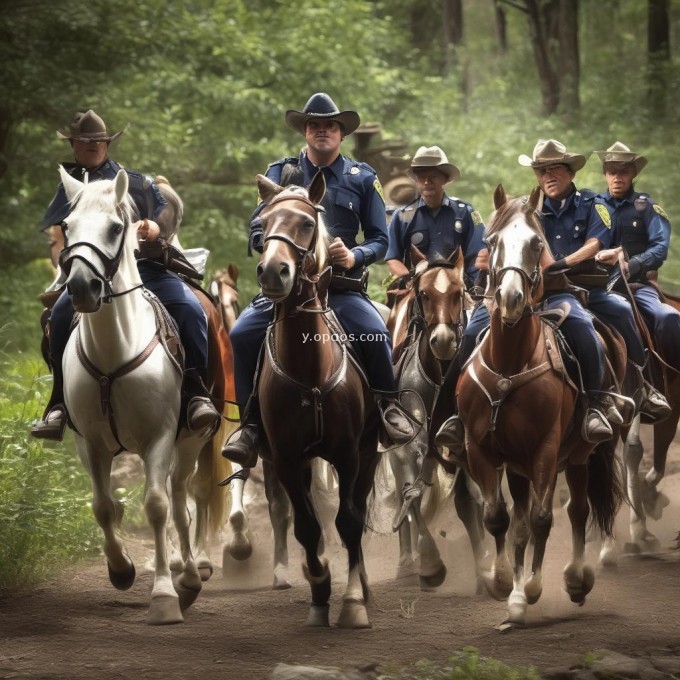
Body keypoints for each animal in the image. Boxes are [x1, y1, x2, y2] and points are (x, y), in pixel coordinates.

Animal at [58, 167, 219, 624]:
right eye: (67, 226)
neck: (114, 352)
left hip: (191, 440)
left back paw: (189, 576)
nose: (82, 287)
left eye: (117, 227)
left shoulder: (159, 438)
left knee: (181, 499)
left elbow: (157, 507)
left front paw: (164, 594)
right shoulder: (89, 443)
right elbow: (103, 506)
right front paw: (121, 569)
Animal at [255, 170, 382, 628]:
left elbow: (348, 521)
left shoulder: (348, 454)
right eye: (263, 224)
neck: (310, 370)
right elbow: (307, 527)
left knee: (356, 511)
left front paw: (353, 602)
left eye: (308, 223)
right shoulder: (287, 459)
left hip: (369, 453)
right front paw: (319, 588)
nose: (273, 272)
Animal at [456, 185, 628, 628]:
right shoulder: (480, 450)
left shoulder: (546, 452)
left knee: (579, 510)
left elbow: (542, 519)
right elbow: (499, 518)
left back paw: (576, 579)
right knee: (518, 521)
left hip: (582, 454)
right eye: (492, 241)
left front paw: (530, 589)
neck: (509, 363)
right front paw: (505, 585)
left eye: (537, 243)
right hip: (517, 466)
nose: (511, 299)